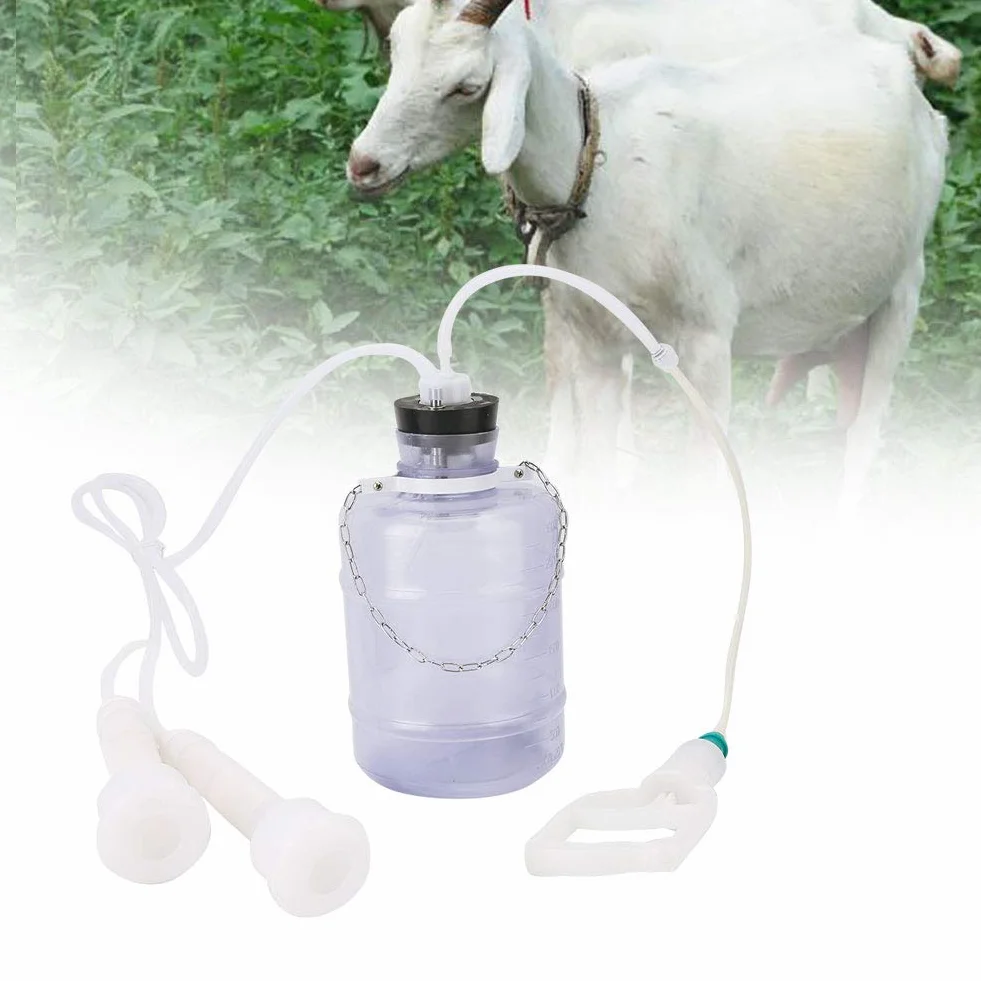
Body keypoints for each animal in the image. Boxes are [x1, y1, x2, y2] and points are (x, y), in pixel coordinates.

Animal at [347, 0, 948, 507]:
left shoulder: (707, 339)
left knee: (865, 435)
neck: (597, 162)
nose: (364, 164)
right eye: (396, 51)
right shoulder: (593, 343)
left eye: (467, 86)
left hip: (903, 289)